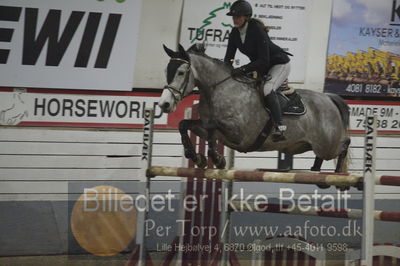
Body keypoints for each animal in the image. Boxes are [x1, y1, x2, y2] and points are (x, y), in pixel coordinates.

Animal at [159, 43, 350, 177]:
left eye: (181, 72)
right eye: (166, 71)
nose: (164, 104)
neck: (217, 90)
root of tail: (328, 98)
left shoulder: (240, 134)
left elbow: (213, 128)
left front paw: (218, 159)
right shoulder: (207, 127)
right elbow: (185, 124)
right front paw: (197, 157)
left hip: (328, 145)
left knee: (344, 144)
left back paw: (338, 174)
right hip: (309, 146)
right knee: (323, 155)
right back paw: (316, 170)